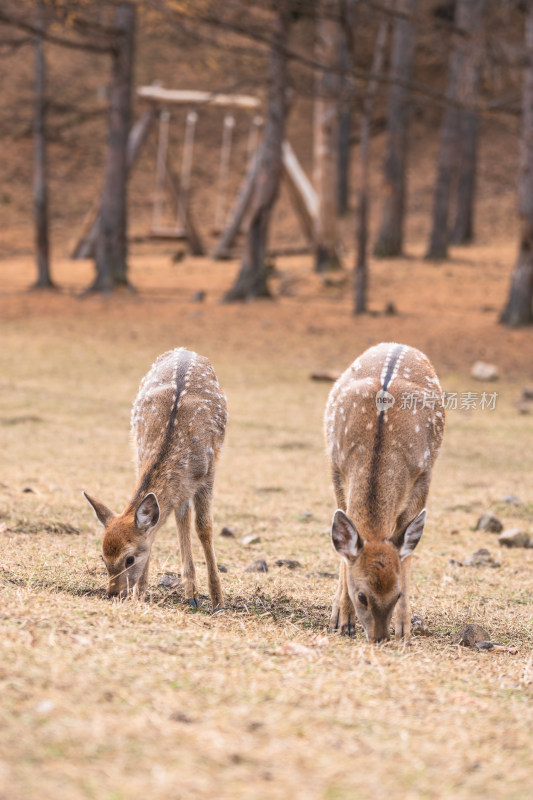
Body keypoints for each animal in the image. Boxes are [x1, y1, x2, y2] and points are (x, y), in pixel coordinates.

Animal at [83, 346, 227, 608]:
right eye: (103, 556)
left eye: (129, 558)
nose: (114, 593)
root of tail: (184, 349)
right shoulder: (140, 457)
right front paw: (140, 593)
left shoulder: (208, 473)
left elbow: (204, 528)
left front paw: (218, 600)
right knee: (181, 515)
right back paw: (190, 592)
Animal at [324, 340, 444, 640]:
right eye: (362, 595)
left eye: (397, 593)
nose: (379, 637)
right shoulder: (336, 466)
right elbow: (345, 552)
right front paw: (343, 620)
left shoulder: (423, 474)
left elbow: (406, 553)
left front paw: (404, 629)